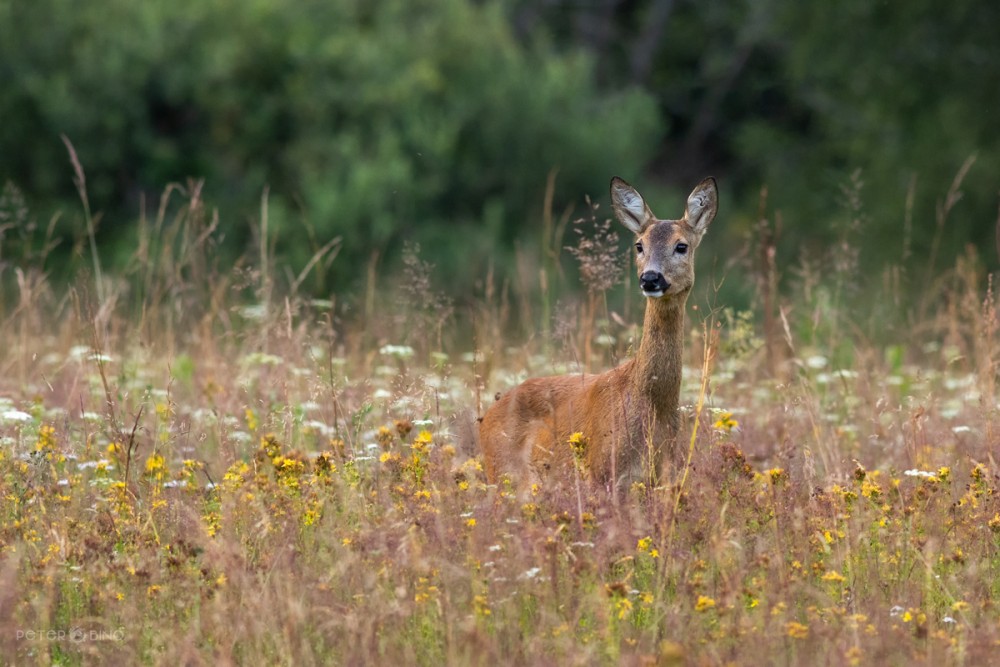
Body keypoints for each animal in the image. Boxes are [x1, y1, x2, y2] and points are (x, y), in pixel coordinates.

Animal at [478, 177, 720, 490]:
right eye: (639, 245)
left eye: (681, 246)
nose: (650, 278)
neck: (651, 405)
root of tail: (486, 415)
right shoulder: (601, 472)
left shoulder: (660, 477)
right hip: (503, 475)